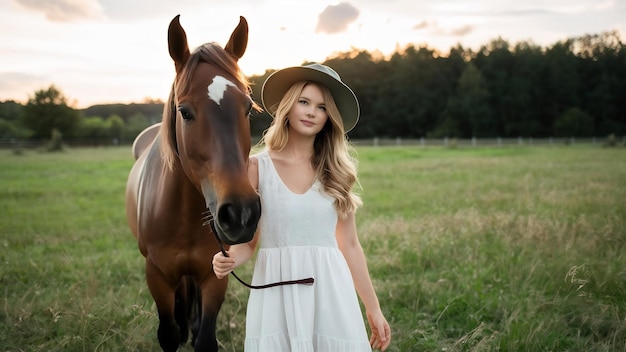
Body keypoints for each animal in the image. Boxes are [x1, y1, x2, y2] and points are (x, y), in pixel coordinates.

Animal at [124, 15, 260, 350]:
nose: (241, 214)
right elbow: (168, 333)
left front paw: (197, 328)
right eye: (184, 112)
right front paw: (181, 329)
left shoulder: (214, 275)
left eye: (248, 107)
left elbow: (206, 338)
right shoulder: (157, 275)